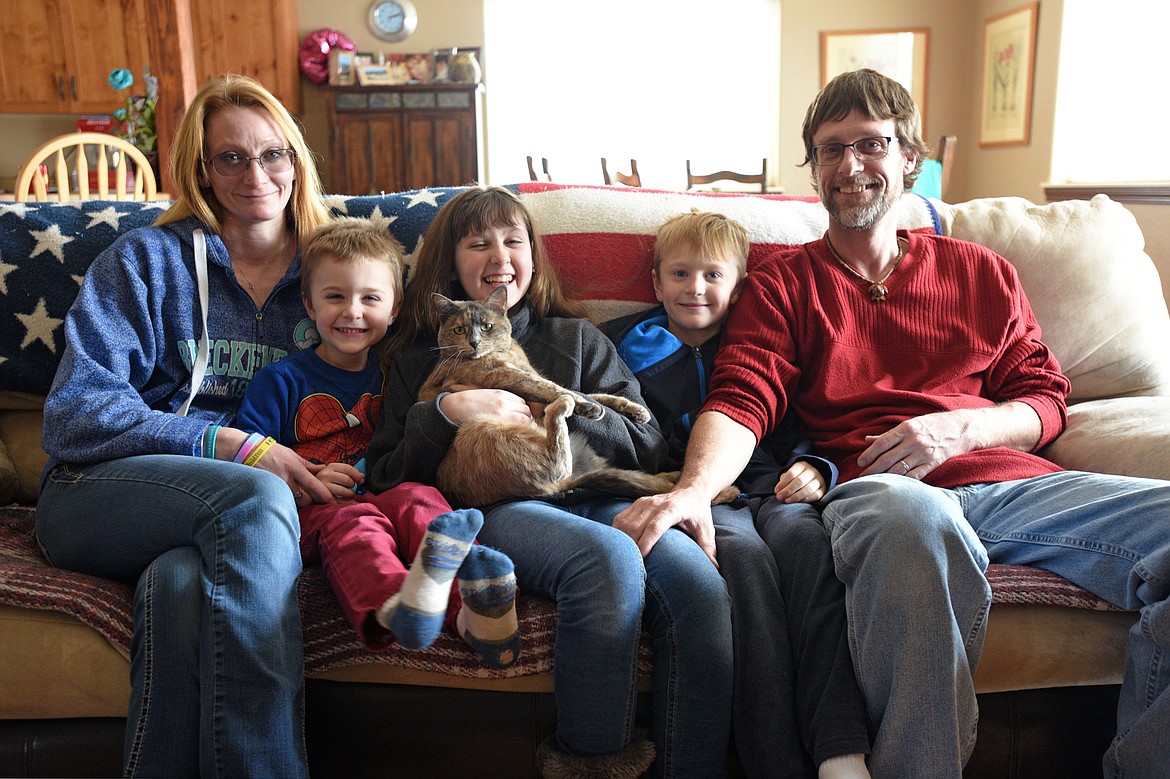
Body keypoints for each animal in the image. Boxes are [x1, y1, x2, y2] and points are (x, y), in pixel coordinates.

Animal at [421, 287, 730, 507]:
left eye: (486, 326)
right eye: (459, 329)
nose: (473, 342)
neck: (506, 352)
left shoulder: (527, 374)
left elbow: (589, 391)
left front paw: (631, 409)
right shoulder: (503, 376)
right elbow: (554, 387)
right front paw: (582, 405)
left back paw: (673, 475)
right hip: (481, 427)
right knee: (556, 462)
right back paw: (560, 409)